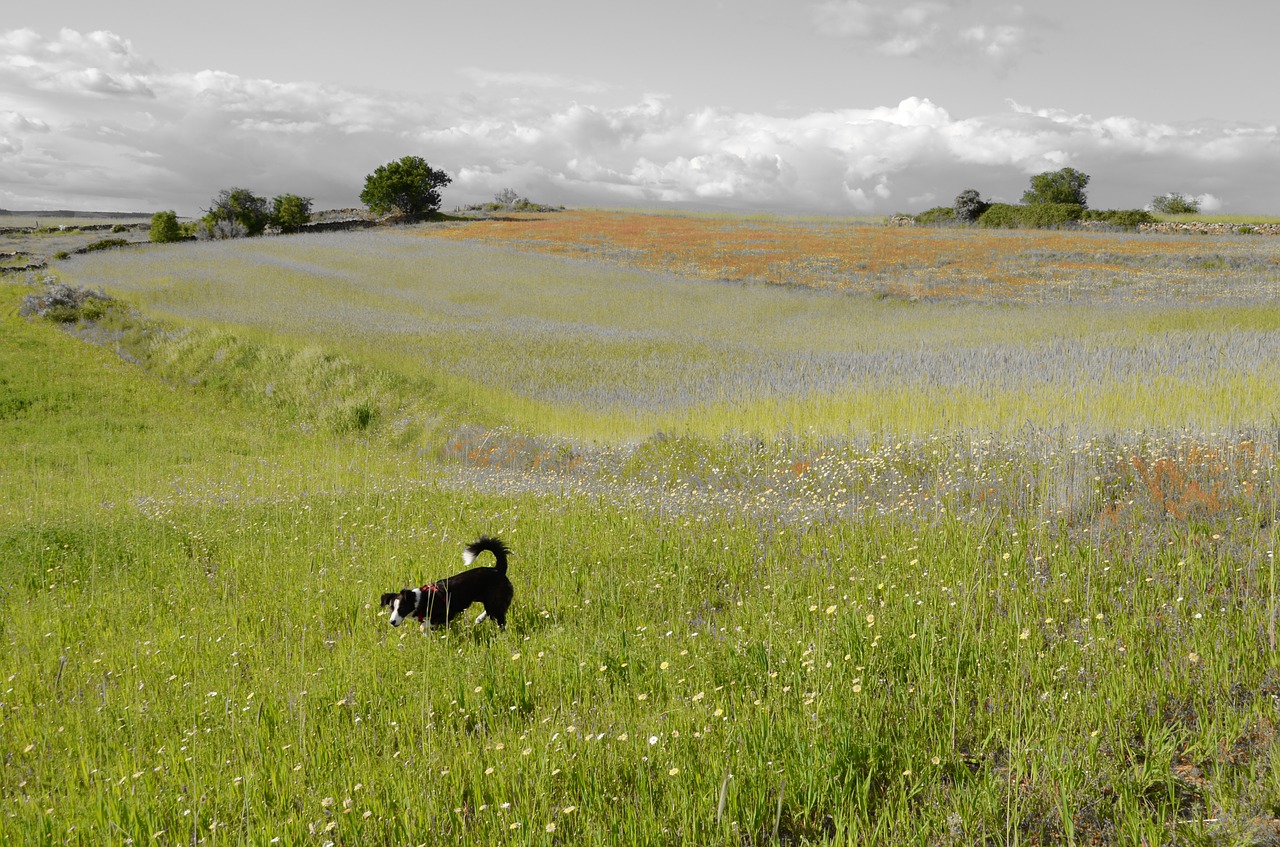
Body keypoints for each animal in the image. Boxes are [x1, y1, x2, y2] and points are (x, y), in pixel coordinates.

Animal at [378, 539, 514, 626]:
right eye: (391, 608)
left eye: (401, 608)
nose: (392, 622)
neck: (421, 600)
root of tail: (498, 569)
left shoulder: (448, 614)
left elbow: (425, 625)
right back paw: (480, 619)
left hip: (495, 602)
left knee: (499, 616)